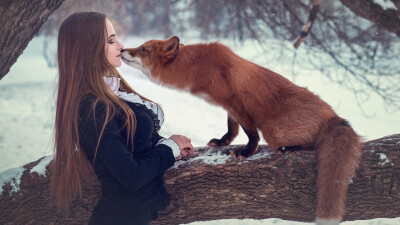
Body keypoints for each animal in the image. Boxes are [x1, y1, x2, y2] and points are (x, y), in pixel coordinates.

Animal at [121, 36, 362, 223]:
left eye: (143, 49)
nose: (122, 49)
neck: (198, 69)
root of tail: (333, 115)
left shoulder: (236, 103)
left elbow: (250, 133)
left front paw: (246, 152)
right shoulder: (229, 108)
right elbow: (232, 129)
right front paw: (223, 142)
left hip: (272, 130)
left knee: (311, 144)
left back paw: (291, 148)